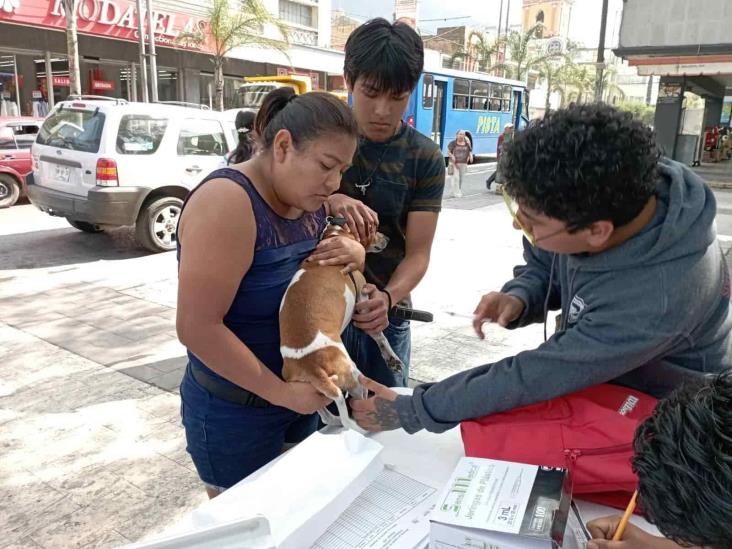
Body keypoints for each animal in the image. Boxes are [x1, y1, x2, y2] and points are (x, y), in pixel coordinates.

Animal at [280, 219, 406, 432]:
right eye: (374, 227)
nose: (388, 239)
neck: (335, 235)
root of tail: (312, 367)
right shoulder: (363, 296)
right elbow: (380, 336)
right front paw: (392, 358)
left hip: (310, 391)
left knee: (326, 417)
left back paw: (337, 420)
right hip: (354, 377)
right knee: (358, 403)